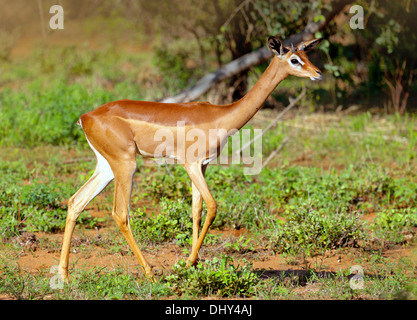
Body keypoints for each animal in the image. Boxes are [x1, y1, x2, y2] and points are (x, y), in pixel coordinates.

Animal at [58, 35, 324, 282]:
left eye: (307, 54)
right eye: (294, 59)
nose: (318, 73)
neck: (220, 116)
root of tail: (86, 117)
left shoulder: (204, 166)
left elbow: (196, 209)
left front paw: (193, 264)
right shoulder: (191, 164)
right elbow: (213, 206)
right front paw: (188, 263)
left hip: (106, 168)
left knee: (76, 202)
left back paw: (64, 276)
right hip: (126, 165)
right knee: (120, 214)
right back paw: (150, 273)